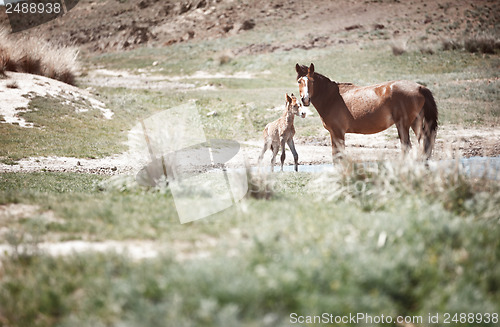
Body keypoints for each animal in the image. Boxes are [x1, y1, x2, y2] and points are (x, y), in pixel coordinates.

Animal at [296, 63, 438, 160]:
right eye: (299, 81)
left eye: (312, 81)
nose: (305, 99)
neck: (332, 97)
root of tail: (420, 87)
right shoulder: (333, 133)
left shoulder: (338, 133)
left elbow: (339, 155)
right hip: (415, 122)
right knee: (423, 142)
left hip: (403, 124)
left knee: (407, 146)